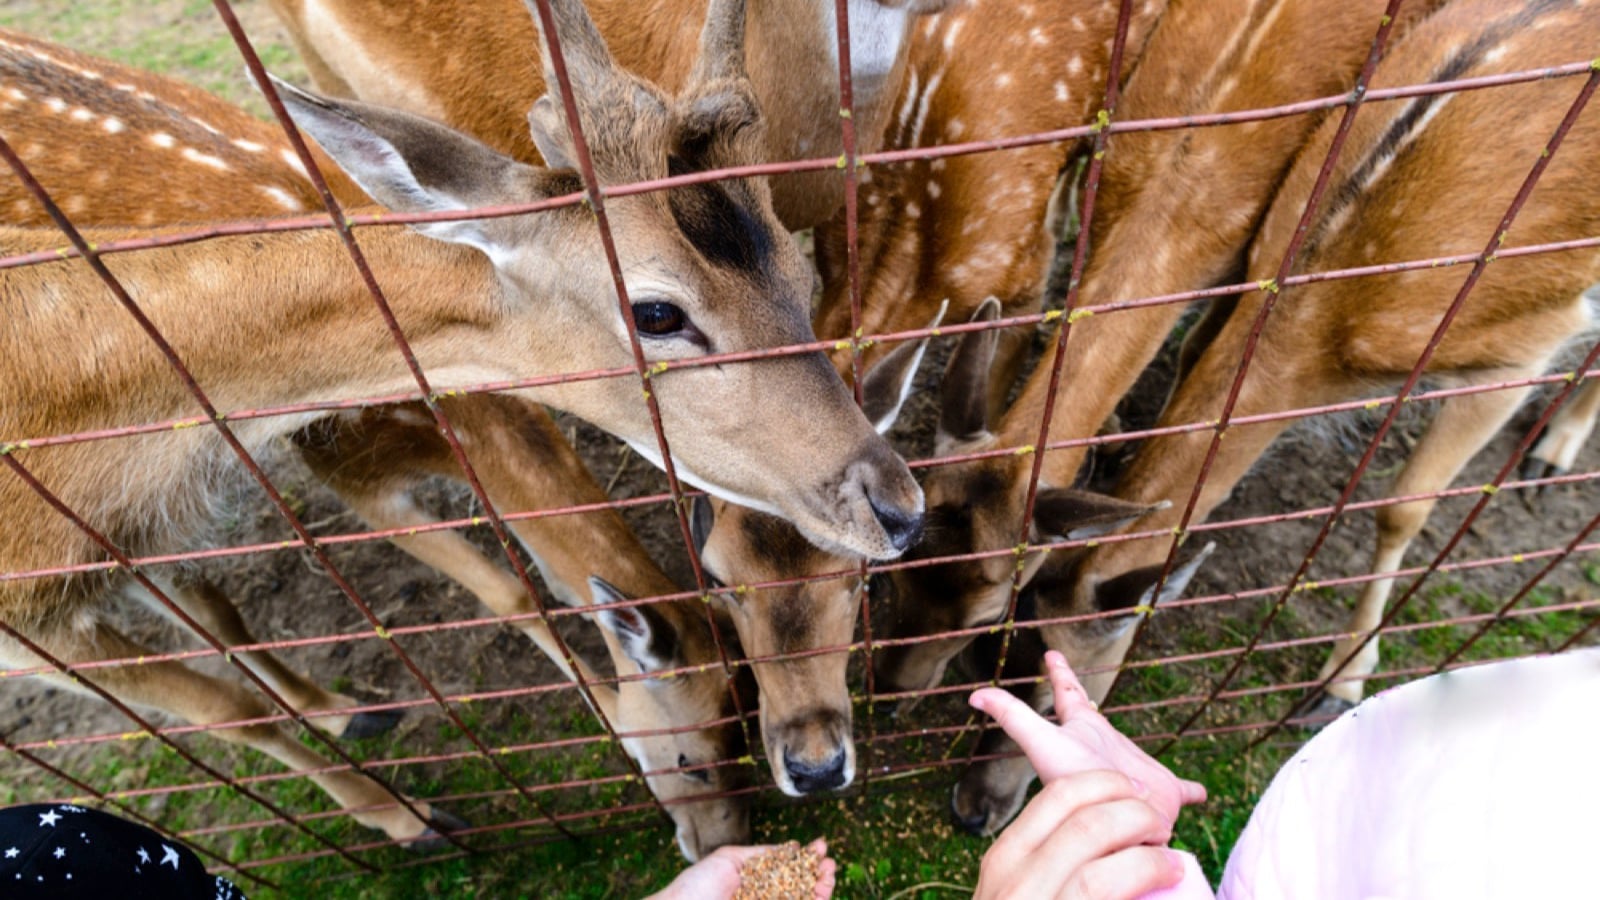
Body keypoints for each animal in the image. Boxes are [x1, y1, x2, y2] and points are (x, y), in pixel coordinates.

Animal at [0, 0, 926, 849]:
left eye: (794, 273)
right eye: (658, 312)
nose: (898, 508)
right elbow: (229, 708)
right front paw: (416, 820)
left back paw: (341, 707)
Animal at [947, 0, 1600, 835]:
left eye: (1063, 695)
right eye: (989, 651)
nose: (971, 812)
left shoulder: (1520, 348)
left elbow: (1402, 506)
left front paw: (1340, 684)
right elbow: (1195, 352)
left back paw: (1551, 453)